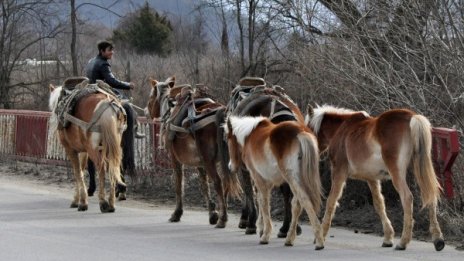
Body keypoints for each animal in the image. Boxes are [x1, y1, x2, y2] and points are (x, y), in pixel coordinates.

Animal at [48, 80, 126, 212]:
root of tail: (107, 105)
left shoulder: (70, 150)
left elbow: (77, 172)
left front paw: (82, 202)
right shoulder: (84, 151)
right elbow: (82, 170)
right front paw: (78, 199)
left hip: (93, 149)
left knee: (101, 168)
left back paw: (103, 202)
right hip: (112, 146)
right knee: (113, 167)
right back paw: (111, 203)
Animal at [144, 76, 239, 226]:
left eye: (151, 97)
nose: (146, 112)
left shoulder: (175, 160)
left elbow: (178, 185)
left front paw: (177, 213)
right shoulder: (200, 163)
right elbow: (204, 185)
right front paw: (212, 212)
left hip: (210, 162)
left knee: (218, 183)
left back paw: (223, 218)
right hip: (225, 160)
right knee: (226, 183)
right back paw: (224, 214)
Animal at [306, 103, 444, 250]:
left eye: (308, 129)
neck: (341, 129)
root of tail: (412, 117)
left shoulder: (339, 173)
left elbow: (331, 201)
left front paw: (320, 236)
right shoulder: (372, 178)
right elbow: (379, 204)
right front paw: (388, 238)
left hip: (397, 174)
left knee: (407, 198)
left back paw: (403, 242)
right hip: (421, 167)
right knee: (431, 195)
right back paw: (438, 239)